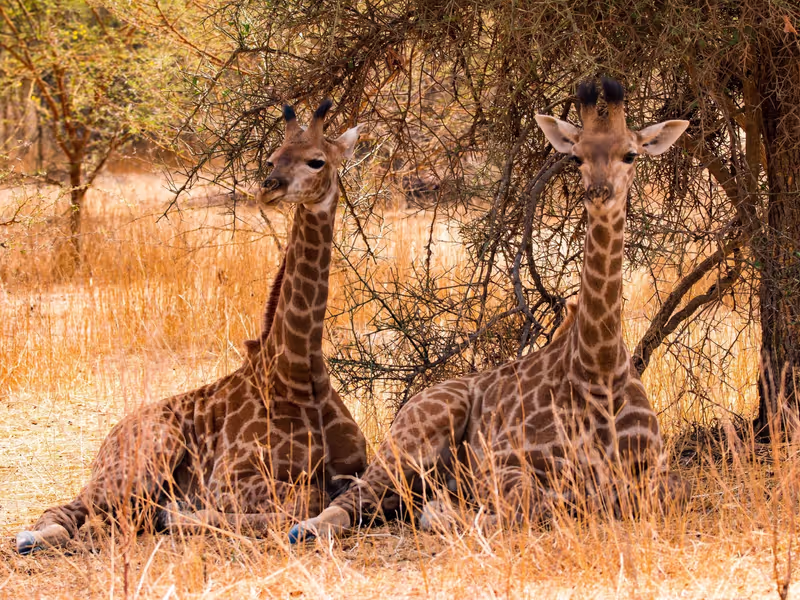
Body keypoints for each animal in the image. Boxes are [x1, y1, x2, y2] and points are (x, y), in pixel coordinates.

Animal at [15, 100, 368, 554]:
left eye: (316, 160)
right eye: (272, 157)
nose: (268, 187)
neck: (298, 370)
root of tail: (110, 437)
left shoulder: (360, 467)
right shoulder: (229, 481)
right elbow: (303, 498)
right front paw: (187, 516)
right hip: (151, 450)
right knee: (74, 511)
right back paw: (42, 536)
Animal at [289, 79, 690, 542]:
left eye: (631, 154)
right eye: (576, 156)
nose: (598, 193)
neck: (599, 369)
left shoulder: (656, 473)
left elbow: (650, 494)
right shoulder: (502, 464)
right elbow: (532, 505)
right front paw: (448, 515)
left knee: (385, 502)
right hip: (415, 433)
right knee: (351, 499)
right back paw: (309, 527)